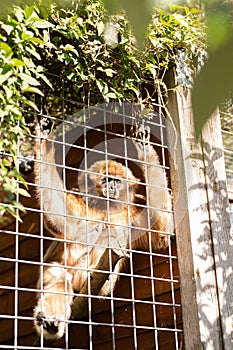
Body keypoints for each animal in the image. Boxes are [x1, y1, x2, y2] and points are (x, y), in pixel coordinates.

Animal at [33, 123, 173, 340]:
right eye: (107, 180)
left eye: (117, 181)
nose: (112, 187)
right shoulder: (81, 199)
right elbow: (56, 220)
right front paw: (44, 142)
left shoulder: (132, 211)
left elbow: (160, 236)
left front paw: (145, 149)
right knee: (58, 274)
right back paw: (51, 323)